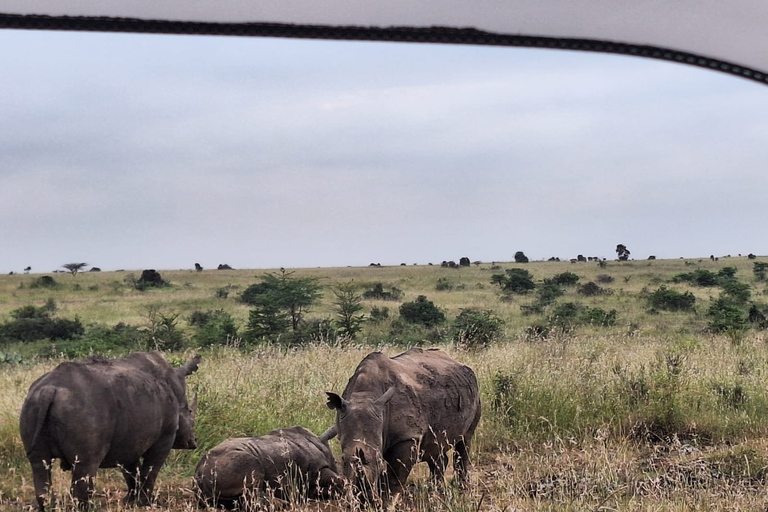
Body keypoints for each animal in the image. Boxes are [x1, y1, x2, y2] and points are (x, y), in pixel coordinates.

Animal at [20, 352, 201, 512]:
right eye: (190, 411)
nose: (193, 442)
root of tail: (49, 390)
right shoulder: (165, 436)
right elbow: (150, 469)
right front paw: (147, 503)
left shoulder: (129, 438)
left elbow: (131, 470)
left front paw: (130, 501)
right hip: (82, 409)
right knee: (86, 465)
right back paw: (88, 508)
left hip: (32, 403)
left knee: (39, 463)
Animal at [195, 424, 342, 508]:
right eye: (335, 461)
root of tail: (198, 474)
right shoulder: (317, 469)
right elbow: (341, 481)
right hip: (230, 462)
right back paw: (281, 504)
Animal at [328, 348, 484, 500]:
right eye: (342, 459)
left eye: (378, 459)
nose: (361, 495)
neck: (365, 395)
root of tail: (455, 361)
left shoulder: (407, 436)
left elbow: (395, 477)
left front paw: (387, 501)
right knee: (435, 446)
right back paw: (435, 492)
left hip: (475, 394)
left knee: (465, 440)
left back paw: (461, 489)